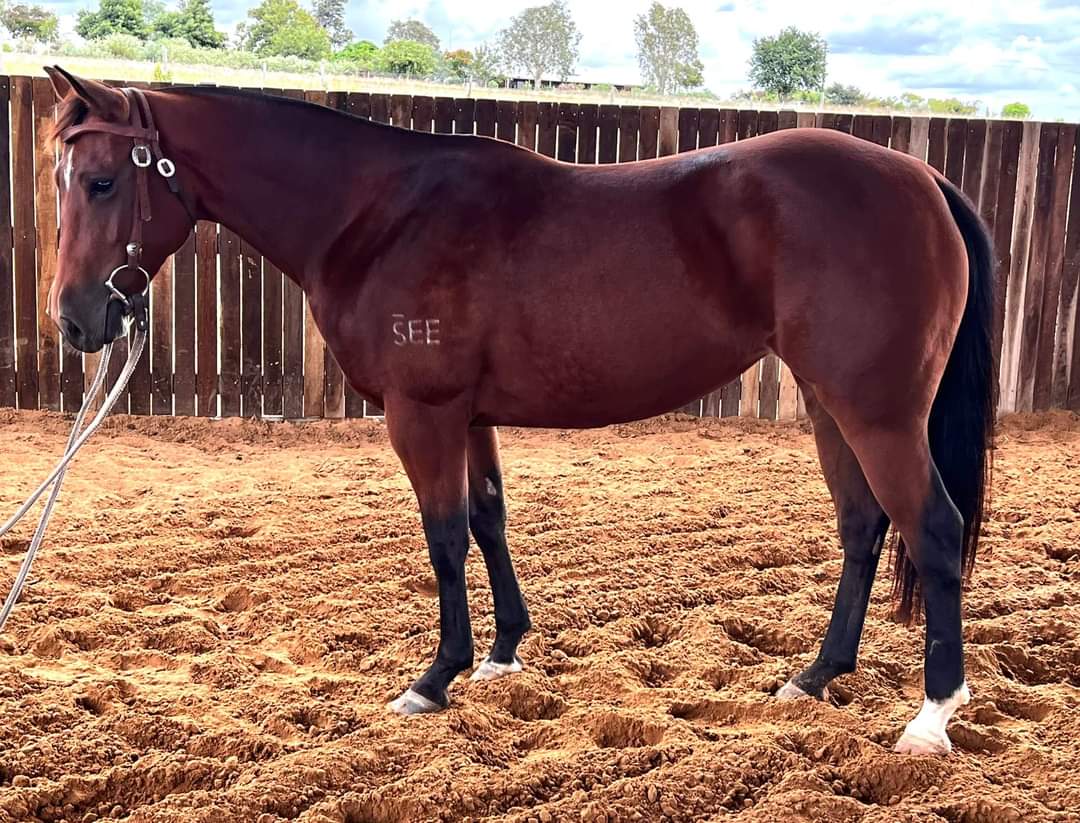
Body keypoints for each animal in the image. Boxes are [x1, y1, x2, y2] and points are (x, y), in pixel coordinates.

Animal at [43, 66, 993, 756]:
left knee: (933, 529)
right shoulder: (469, 415)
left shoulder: (422, 413)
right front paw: (502, 655)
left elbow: (443, 536)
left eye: (100, 181)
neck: (376, 213)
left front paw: (434, 677)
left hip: (878, 414)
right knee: (863, 526)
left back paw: (930, 716)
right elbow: (490, 519)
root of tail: (921, 176)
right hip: (834, 408)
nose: (77, 320)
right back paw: (815, 676)